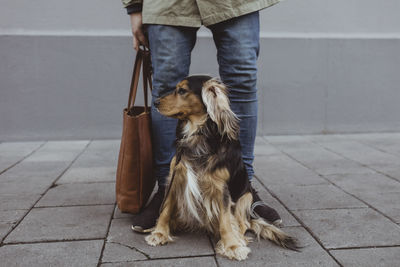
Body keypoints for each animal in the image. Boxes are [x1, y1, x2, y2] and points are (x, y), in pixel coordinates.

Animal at [146, 75, 296, 262]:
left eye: (182, 90)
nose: (156, 102)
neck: (198, 135)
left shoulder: (221, 189)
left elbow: (225, 220)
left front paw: (232, 245)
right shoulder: (177, 178)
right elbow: (166, 208)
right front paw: (159, 233)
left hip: (245, 196)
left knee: (243, 223)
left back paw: (238, 237)